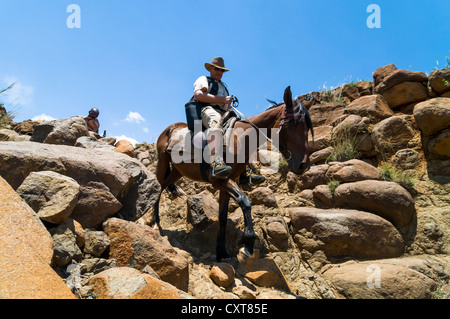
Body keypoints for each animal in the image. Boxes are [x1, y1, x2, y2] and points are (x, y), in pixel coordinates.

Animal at [151, 86, 312, 266]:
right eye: (293, 124)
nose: (303, 165)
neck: (240, 138)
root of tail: (170, 129)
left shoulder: (228, 182)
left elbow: (223, 217)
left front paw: (222, 253)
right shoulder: (219, 180)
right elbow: (245, 201)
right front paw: (248, 246)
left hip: (178, 172)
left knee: (164, 185)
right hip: (162, 162)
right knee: (158, 185)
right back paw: (155, 221)